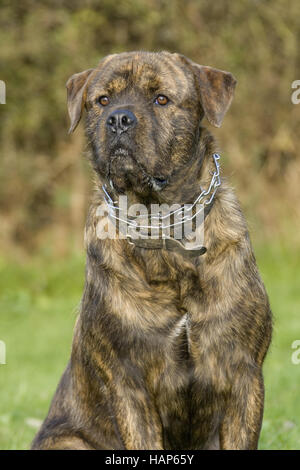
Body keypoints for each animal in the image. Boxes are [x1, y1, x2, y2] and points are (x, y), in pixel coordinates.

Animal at [31, 51, 274, 452]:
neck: (161, 223)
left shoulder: (243, 375)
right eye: (102, 100)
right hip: (68, 442)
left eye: (161, 99)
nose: (119, 119)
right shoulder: (129, 384)